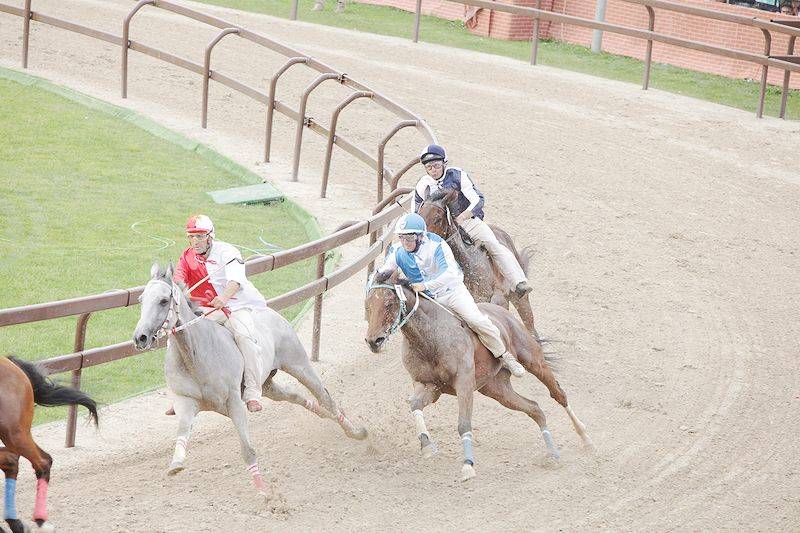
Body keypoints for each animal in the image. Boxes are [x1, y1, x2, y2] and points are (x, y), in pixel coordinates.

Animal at [133, 262, 368, 498]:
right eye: (142, 299)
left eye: (164, 300)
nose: (140, 337)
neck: (196, 355)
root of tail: (269, 311)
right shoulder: (186, 402)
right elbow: (182, 433)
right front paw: (176, 464)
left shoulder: (234, 402)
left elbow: (247, 450)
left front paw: (264, 491)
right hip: (268, 386)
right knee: (298, 397)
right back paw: (324, 414)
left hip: (299, 365)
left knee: (325, 397)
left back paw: (356, 431)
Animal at [364, 274, 592, 482]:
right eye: (367, 306)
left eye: (389, 302)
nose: (373, 341)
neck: (430, 339)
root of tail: (503, 311)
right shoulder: (428, 386)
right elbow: (415, 406)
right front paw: (427, 446)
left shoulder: (464, 384)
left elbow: (463, 424)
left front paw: (468, 465)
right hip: (497, 389)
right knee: (534, 408)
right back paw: (552, 454)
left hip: (534, 362)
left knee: (558, 394)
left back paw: (585, 437)